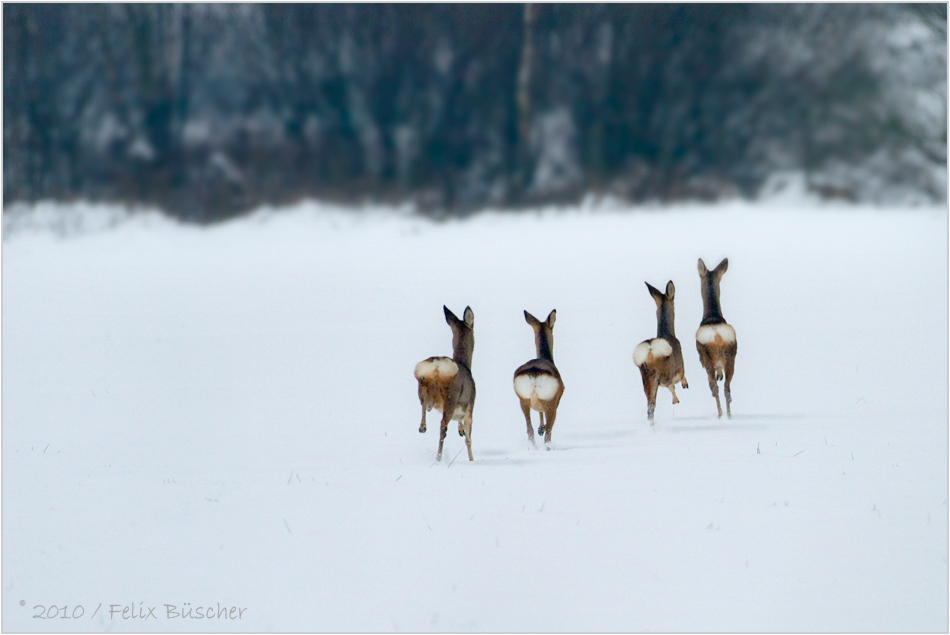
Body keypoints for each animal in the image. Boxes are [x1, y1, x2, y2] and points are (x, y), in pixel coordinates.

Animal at [414, 306, 476, 462]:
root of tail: (437, 367)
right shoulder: (470, 406)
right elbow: (468, 438)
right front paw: (472, 460)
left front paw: (460, 430)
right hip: (451, 397)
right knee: (443, 426)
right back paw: (438, 458)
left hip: (423, 386)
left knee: (424, 406)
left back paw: (422, 427)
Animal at [512, 310, 564, 450]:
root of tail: (535, 373)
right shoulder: (557, 398)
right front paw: (542, 428)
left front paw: (540, 428)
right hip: (550, 400)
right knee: (548, 433)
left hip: (522, 399)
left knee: (529, 430)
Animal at [636, 280, 688, 424]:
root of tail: (650, 352)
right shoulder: (680, 365)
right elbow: (682, 377)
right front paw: (685, 385)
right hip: (665, 372)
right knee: (668, 385)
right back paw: (676, 400)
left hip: (646, 378)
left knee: (650, 406)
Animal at [696, 258, 740, 418]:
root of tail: (717, 336)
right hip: (731, 356)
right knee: (727, 388)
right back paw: (729, 415)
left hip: (707, 358)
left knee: (714, 388)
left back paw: (721, 414)